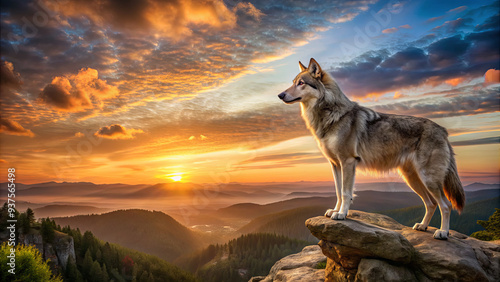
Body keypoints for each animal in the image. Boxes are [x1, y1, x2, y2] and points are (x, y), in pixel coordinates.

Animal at [278, 58, 464, 239]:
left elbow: (345, 192)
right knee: (431, 203)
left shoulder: (347, 162)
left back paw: (443, 233)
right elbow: (338, 191)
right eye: (293, 82)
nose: (280, 95)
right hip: (412, 179)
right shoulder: (335, 164)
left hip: (428, 179)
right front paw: (335, 210)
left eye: (301, 83)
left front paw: (341, 214)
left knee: (446, 205)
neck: (329, 114)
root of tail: (443, 130)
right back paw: (423, 226)